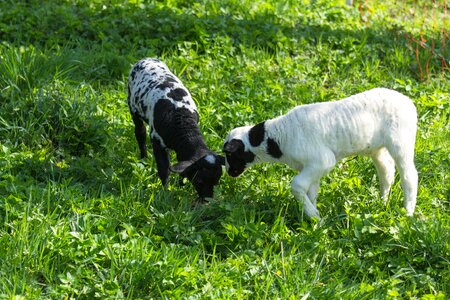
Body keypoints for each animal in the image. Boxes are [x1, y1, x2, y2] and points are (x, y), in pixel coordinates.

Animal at [126, 58, 225, 199]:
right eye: (199, 180)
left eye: (216, 181)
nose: (207, 199)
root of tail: (146, 59)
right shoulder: (157, 142)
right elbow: (164, 169)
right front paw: (166, 193)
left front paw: (180, 185)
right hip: (133, 106)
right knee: (140, 133)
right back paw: (144, 158)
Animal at [224, 88, 418, 219]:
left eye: (230, 155)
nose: (229, 172)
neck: (278, 138)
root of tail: (408, 102)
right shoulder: (312, 167)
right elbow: (311, 191)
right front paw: (314, 217)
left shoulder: (323, 161)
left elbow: (297, 185)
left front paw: (315, 217)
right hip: (376, 148)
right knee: (386, 171)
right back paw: (382, 203)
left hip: (401, 140)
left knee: (409, 176)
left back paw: (408, 212)